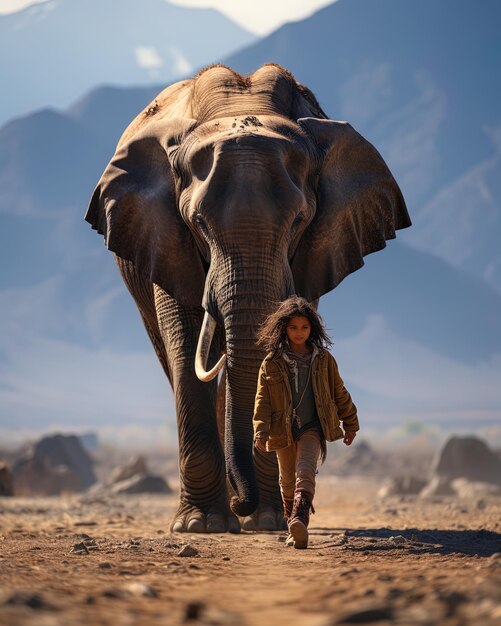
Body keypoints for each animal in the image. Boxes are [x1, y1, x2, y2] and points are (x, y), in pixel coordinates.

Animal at [86, 62, 410, 532]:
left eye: (298, 222)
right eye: (198, 223)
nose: (244, 506)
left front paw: (268, 521)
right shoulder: (163, 236)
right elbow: (185, 343)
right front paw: (200, 526)